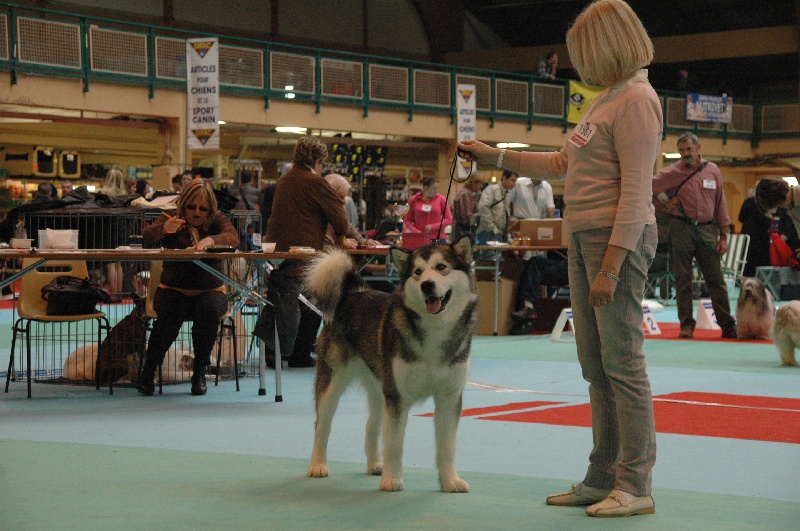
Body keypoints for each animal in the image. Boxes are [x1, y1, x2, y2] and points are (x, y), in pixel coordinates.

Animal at [303, 237, 478, 492]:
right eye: (417, 272)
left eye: (441, 267)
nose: (427, 285)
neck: (435, 330)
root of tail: (354, 293)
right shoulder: (398, 397)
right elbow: (394, 444)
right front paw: (392, 479)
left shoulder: (449, 397)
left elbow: (447, 446)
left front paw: (450, 481)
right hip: (333, 382)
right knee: (321, 426)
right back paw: (317, 465)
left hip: (380, 387)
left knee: (371, 426)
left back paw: (376, 464)